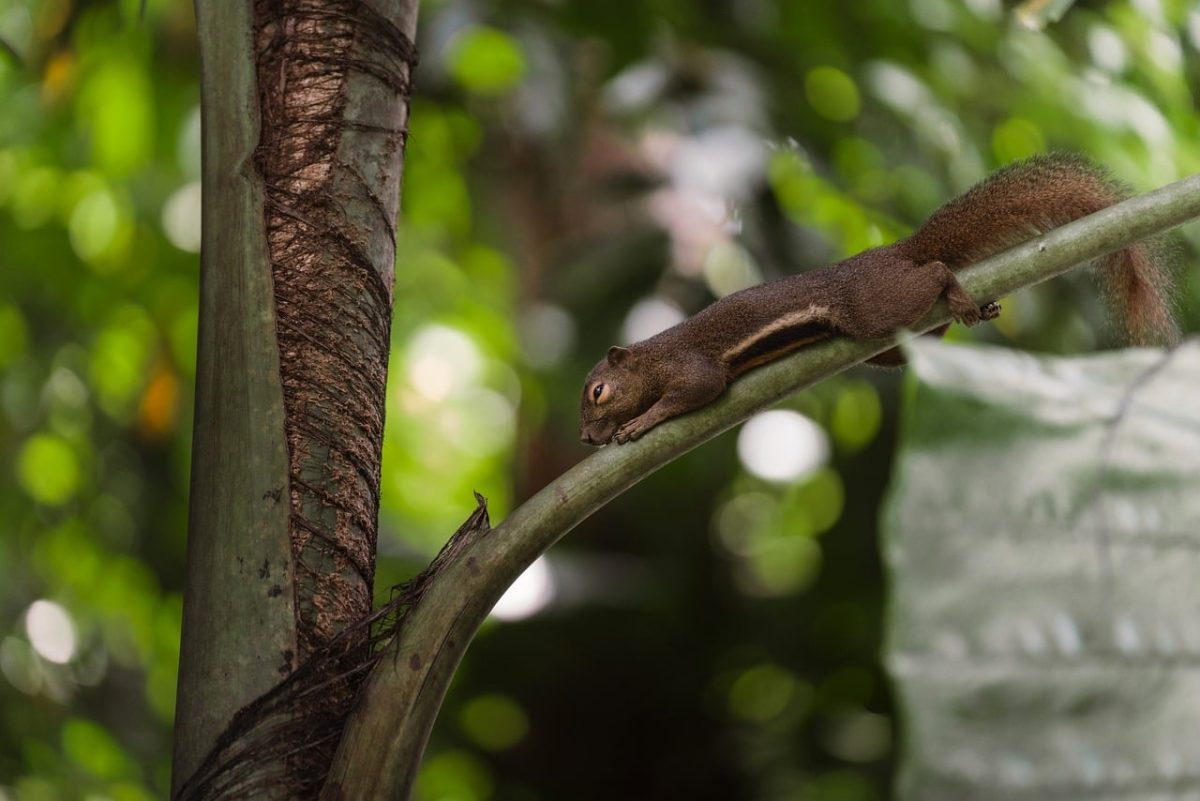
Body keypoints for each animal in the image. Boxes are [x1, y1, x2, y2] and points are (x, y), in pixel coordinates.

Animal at [579, 153, 1178, 446]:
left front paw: (642, 422)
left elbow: (699, 389)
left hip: (876, 306)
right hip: (889, 338)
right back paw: (974, 309)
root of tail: (894, 251)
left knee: (933, 270)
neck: (652, 358)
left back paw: (954, 288)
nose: (586, 439)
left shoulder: (691, 366)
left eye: (599, 393)